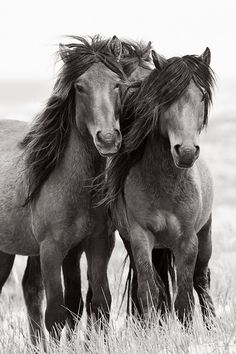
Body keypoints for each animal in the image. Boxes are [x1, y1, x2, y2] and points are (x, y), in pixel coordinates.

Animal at [0, 34, 127, 344]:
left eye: (117, 84)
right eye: (79, 87)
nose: (107, 138)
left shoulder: (96, 245)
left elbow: (97, 304)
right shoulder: (52, 250)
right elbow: (57, 314)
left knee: (30, 289)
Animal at [103, 47, 216, 326]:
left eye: (202, 96)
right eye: (166, 97)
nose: (186, 152)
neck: (165, 187)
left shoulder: (188, 240)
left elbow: (185, 297)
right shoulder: (140, 237)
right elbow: (149, 291)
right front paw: (152, 328)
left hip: (205, 235)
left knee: (202, 280)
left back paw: (211, 325)